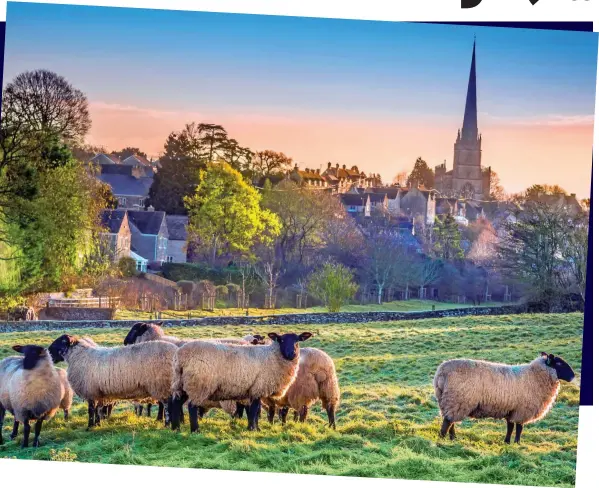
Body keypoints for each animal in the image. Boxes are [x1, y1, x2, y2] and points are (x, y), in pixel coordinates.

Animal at [48, 334, 178, 428]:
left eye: (60, 341)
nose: (47, 353)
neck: (78, 356)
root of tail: (175, 351)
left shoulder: (91, 391)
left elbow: (91, 410)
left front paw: (89, 426)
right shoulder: (99, 392)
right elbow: (98, 409)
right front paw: (97, 424)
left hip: (161, 384)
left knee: (166, 405)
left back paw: (166, 424)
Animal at [166, 332, 312, 430]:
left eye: (297, 340)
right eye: (281, 340)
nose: (292, 354)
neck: (272, 356)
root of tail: (181, 356)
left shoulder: (252, 390)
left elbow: (254, 411)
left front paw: (255, 428)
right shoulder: (258, 388)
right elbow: (254, 410)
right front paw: (252, 429)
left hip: (181, 382)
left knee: (176, 403)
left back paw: (176, 428)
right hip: (198, 384)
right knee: (191, 406)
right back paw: (195, 430)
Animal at [434, 352, 580, 444]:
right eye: (559, 364)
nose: (573, 376)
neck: (534, 376)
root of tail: (441, 373)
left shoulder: (512, 409)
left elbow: (510, 427)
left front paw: (507, 442)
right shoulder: (522, 410)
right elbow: (519, 428)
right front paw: (517, 443)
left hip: (448, 401)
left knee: (450, 420)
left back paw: (453, 438)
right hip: (458, 399)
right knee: (448, 421)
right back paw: (442, 439)